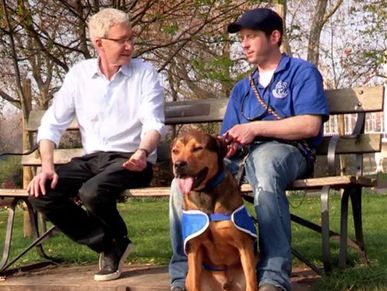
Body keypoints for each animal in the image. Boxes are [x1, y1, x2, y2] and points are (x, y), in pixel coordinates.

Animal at [172, 130, 258, 291]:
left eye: (198, 148)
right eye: (175, 151)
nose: (179, 164)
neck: (206, 192)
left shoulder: (244, 245)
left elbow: (251, 282)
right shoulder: (194, 248)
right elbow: (195, 281)